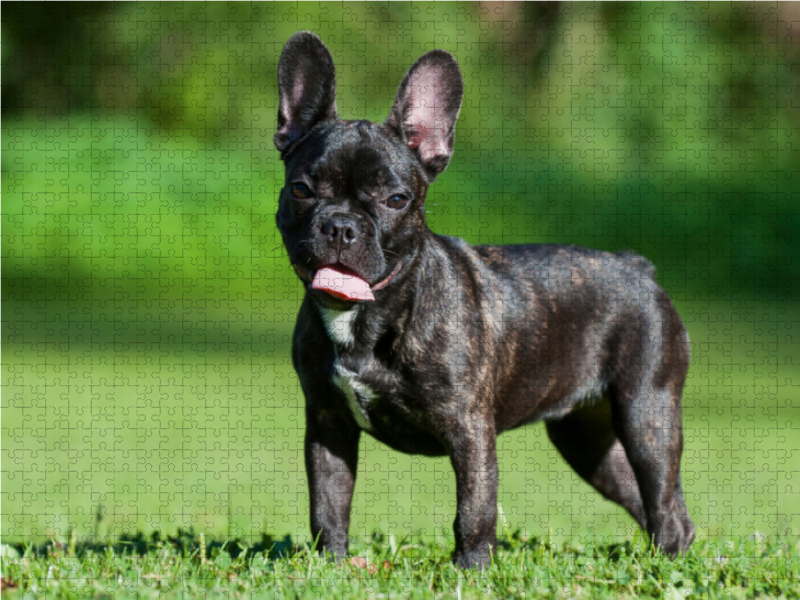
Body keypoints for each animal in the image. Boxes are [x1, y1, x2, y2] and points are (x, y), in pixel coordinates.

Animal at [274, 31, 692, 568]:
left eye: (396, 200)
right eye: (302, 189)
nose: (342, 225)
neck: (370, 316)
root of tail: (637, 266)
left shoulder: (468, 428)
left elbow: (473, 509)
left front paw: (470, 570)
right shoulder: (328, 425)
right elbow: (328, 503)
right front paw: (331, 566)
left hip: (647, 414)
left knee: (663, 500)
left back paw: (668, 564)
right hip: (586, 439)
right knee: (645, 496)